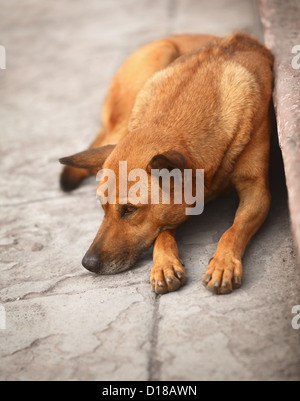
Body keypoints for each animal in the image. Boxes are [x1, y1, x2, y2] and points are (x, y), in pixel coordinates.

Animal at [58, 33, 274, 294]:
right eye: (102, 206)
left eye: (129, 209)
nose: (88, 263)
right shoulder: (171, 211)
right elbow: (161, 234)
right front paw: (164, 265)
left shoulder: (256, 191)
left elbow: (234, 229)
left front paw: (223, 264)